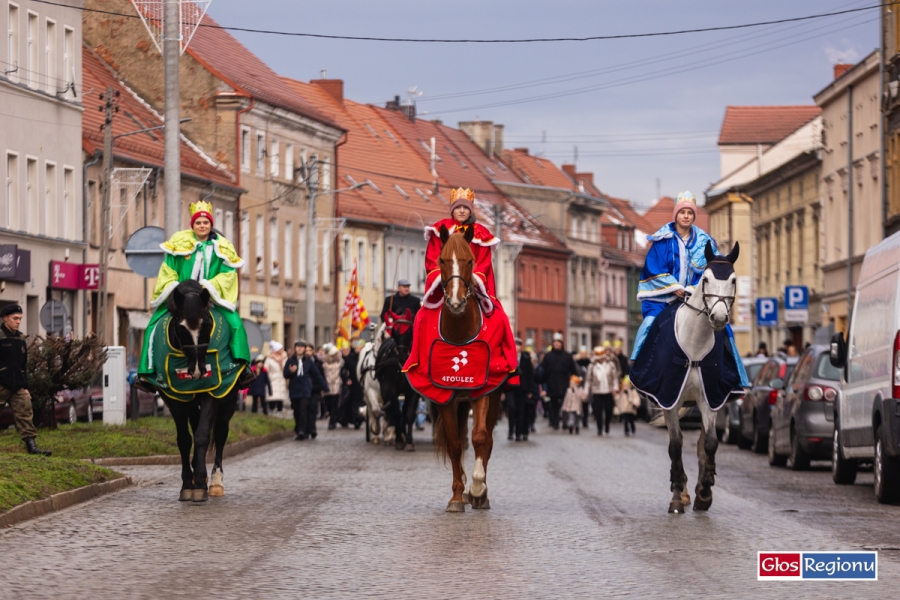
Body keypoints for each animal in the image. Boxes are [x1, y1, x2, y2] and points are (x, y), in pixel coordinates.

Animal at [632, 241, 740, 512]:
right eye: (706, 279)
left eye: (733, 280)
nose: (719, 318)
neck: (695, 343)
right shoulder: (670, 399)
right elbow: (676, 446)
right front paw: (677, 495)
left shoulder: (710, 399)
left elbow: (710, 443)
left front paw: (705, 492)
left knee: (702, 443)